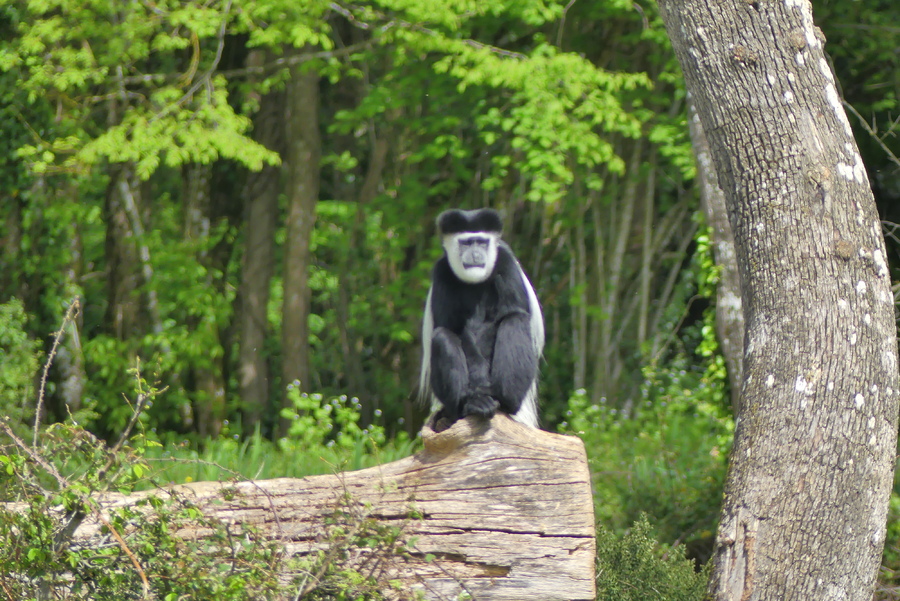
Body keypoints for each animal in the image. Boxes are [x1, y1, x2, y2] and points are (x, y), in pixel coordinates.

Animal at [420, 209, 544, 428]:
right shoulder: (442, 271)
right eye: (467, 243)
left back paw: (503, 401)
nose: (476, 254)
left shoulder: (505, 261)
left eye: (481, 242)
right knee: (442, 336)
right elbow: (453, 328)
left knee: (515, 321)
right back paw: (471, 404)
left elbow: (510, 312)